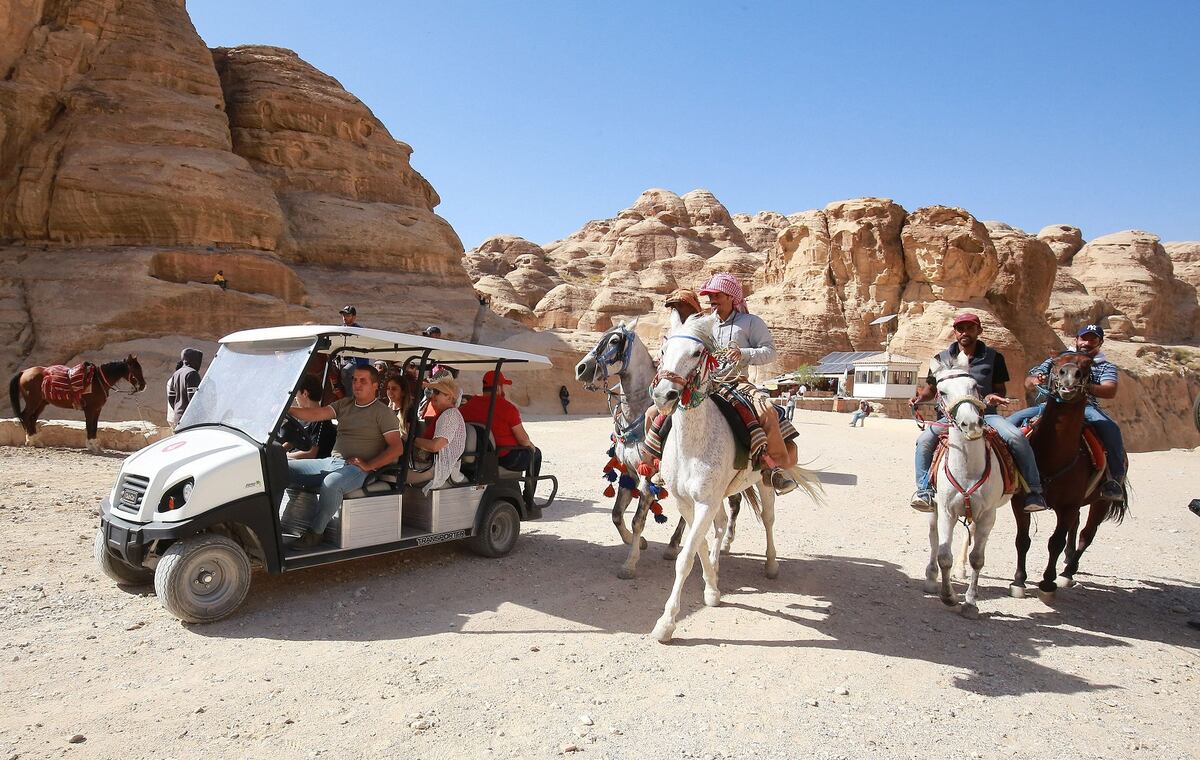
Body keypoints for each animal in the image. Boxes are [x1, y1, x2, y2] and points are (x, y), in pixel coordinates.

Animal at [9, 355, 147, 453]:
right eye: (135, 369)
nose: (143, 386)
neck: (97, 381)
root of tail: (24, 372)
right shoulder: (90, 409)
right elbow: (89, 426)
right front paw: (92, 446)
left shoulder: (97, 409)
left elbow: (94, 426)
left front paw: (95, 446)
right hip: (33, 401)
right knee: (26, 415)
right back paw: (30, 440)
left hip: (42, 403)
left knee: (32, 418)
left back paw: (36, 441)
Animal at [652, 312, 820, 643]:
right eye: (664, 351)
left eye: (696, 353)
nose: (664, 394)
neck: (694, 445)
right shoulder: (686, 503)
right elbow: (699, 547)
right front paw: (712, 590)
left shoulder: (705, 502)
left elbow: (685, 558)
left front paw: (666, 623)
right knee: (720, 527)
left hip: (764, 483)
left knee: (768, 520)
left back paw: (771, 566)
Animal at [921, 357, 1008, 614]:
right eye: (941, 391)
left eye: (975, 386)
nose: (971, 424)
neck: (967, 469)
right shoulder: (946, 511)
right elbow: (943, 554)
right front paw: (948, 596)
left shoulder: (988, 514)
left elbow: (977, 558)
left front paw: (970, 601)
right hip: (934, 507)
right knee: (933, 536)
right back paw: (931, 578)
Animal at [1012, 352, 1123, 602]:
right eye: (1054, 364)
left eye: (1087, 365)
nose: (1070, 376)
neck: (1053, 456)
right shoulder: (1020, 502)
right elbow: (1022, 540)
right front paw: (1019, 581)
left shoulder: (1068, 505)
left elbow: (1055, 542)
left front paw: (1047, 583)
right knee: (1077, 527)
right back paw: (1068, 558)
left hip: (1101, 502)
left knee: (1086, 534)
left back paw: (1067, 572)